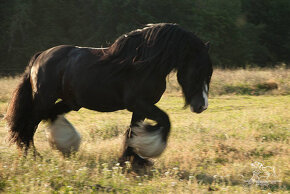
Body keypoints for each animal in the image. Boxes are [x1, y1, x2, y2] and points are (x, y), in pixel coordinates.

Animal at [5, 23, 213, 167]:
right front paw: (149, 149)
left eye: (209, 73)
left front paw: (132, 160)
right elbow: (165, 120)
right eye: (197, 71)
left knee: (49, 116)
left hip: (70, 101)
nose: (202, 106)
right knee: (29, 125)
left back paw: (62, 144)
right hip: (43, 100)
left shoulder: (140, 108)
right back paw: (32, 156)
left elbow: (133, 130)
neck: (145, 65)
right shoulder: (139, 103)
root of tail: (40, 56)